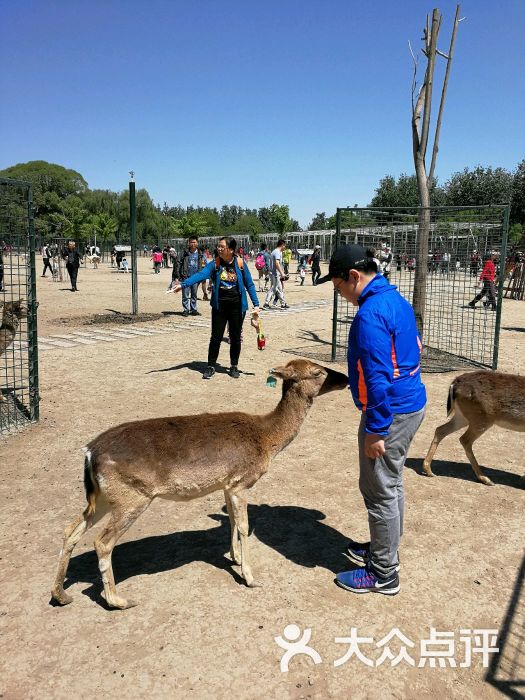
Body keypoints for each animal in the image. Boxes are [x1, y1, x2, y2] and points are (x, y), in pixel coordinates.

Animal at [51, 358, 348, 608]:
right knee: (102, 542)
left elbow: (231, 520)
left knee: (70, 530)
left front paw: (235, 558)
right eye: (318, 372)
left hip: (102, 497)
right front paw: (250, 577)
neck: (268, 440)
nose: (345, 378)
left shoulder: (227, 483)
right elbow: (244, 526)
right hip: (131, 496)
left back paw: (60, 594)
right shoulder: (242, 481)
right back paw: (118, 600)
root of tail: (89, 453)